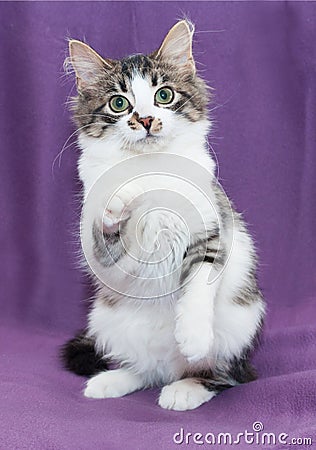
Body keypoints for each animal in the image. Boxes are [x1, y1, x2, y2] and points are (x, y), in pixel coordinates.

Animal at [60, 20, 266, 412]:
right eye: (119, 103)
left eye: (164, 96)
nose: (145, 119)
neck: (150, 167)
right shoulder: (101, 252)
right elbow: (105, 229)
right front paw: (120, 200)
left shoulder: (211, 229)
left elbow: (199, 284)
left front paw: (193, 335)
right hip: (106, 320)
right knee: (145, 371)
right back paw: (111, 380)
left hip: (241, 325)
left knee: (224, 375)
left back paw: (185, 389)